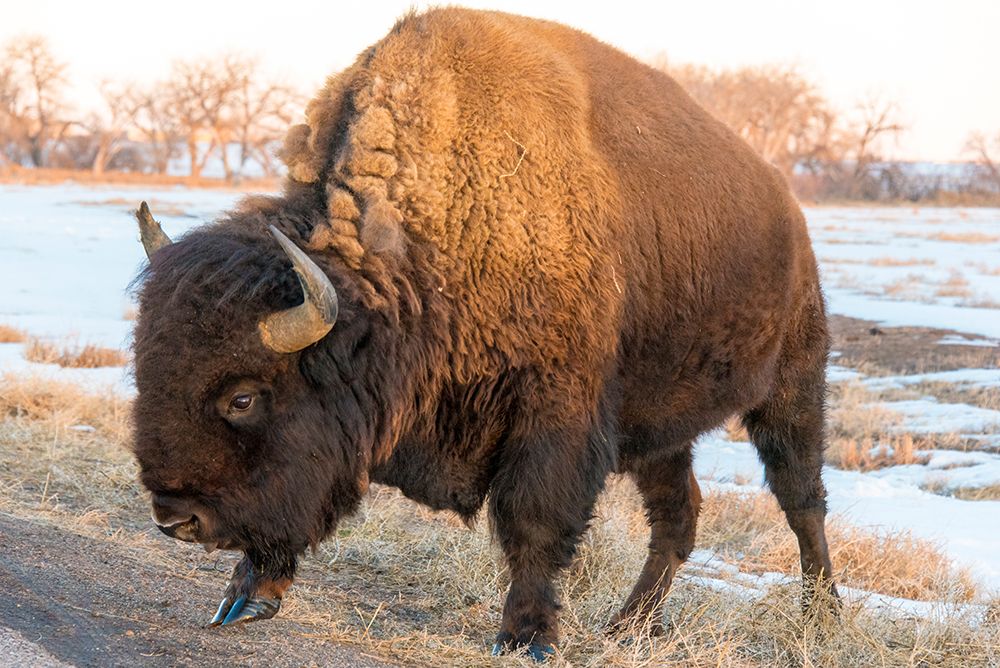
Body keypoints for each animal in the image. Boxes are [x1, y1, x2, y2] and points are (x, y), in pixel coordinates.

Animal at [131, 8, 837, 660]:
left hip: (791, 388)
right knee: (678, 514)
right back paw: (629, 626)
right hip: (660, 427)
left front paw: (526, 637)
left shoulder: (554, 416)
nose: (176, 519)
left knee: (801, 496)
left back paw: (820, 618)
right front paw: (244, 598)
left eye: (243, 397)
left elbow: (534, 521)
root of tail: (789, 210)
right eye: (144, 372)